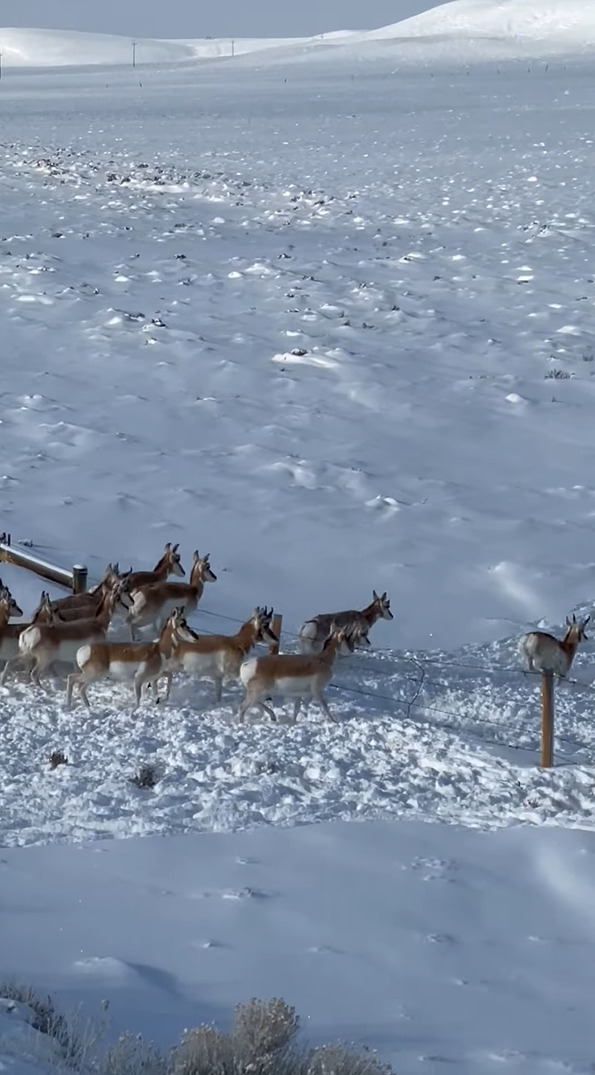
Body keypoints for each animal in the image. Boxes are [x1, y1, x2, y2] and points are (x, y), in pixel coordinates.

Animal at [66, 610, 196, 709]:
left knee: (75, 682)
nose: (196, 637)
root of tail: (82, 650)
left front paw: (161, 699)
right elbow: (138, 698)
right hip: (94, 675)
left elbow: (169, 677)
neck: (159, 650)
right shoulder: (138, 678)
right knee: (75, 682)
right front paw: (135, 710)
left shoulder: (156, 676)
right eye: (182, 624)